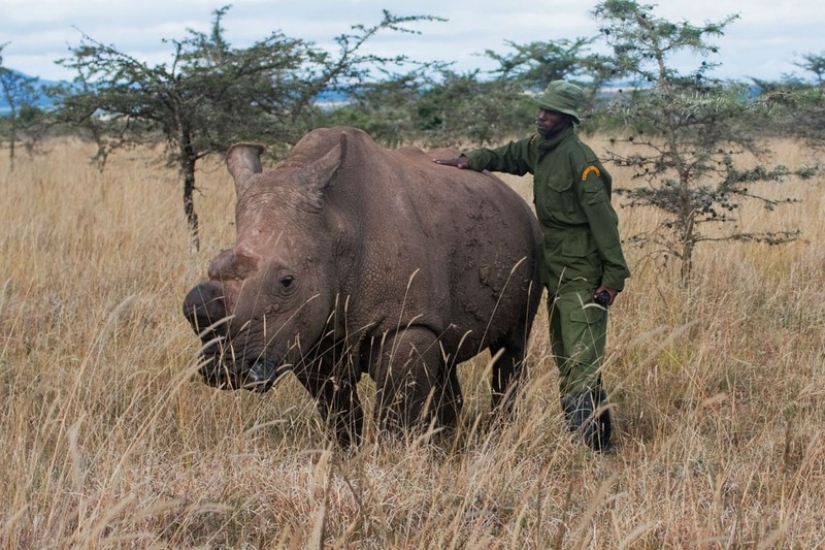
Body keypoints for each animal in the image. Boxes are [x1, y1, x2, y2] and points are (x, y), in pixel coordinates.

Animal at [181, 126, 540, 448]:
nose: (224, 371)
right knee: (445, 352)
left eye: (286, 282)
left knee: (512, 345)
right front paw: (346, 455)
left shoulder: (404, 321)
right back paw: (445, 443)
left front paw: (391, 457)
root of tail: (509, 194)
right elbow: (336, 407)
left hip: (531, 236)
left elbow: (397, 407)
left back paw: (496, 436)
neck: (335, 228)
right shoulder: (310, 330)